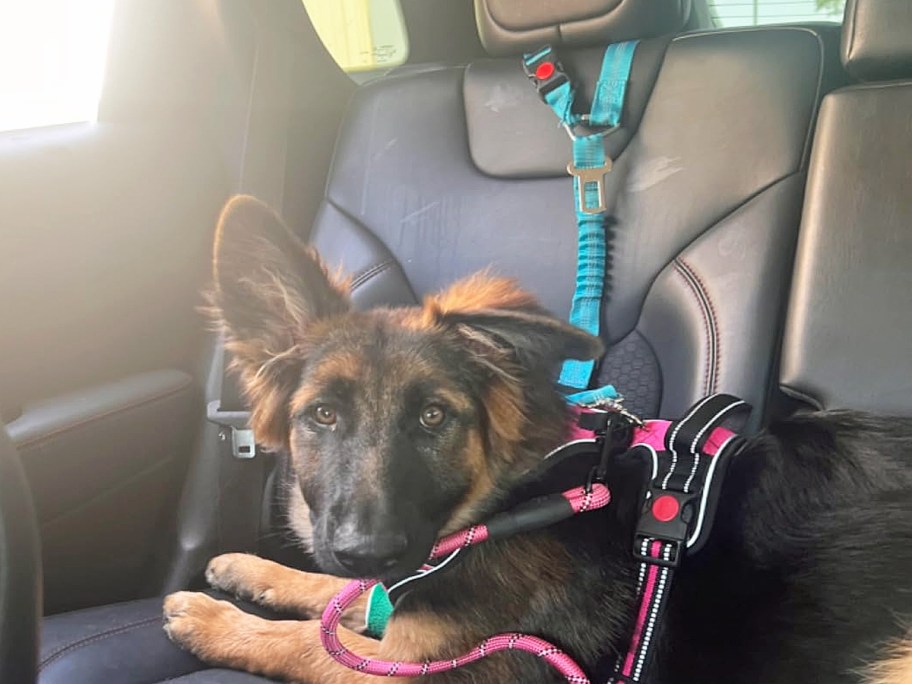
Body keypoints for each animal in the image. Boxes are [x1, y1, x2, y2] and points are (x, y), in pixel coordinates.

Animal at [166, 196, 912, 684]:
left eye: (434, 418)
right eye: (321, 415)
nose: (365, 549)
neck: (514, 497)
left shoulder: (475, 664)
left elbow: (311, 645)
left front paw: (215, 621)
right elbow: (336, 597)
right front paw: (252, 572)